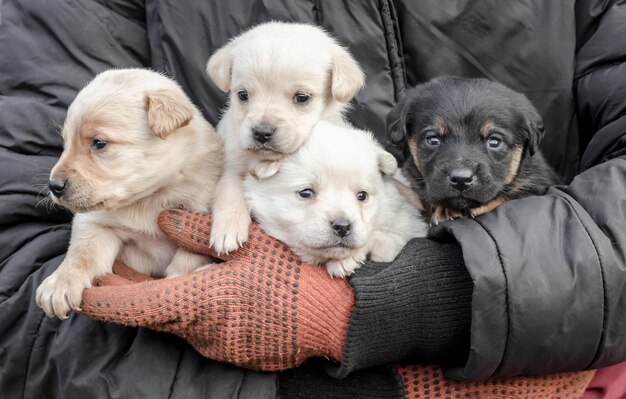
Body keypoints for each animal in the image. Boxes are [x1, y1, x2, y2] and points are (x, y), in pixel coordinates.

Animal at [35, 68, 223, 318]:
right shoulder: (96, 222)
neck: (149, 198)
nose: (53, 186)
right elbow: (82, 253)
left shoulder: (200, 210)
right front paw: (60, 283)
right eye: (65, 143)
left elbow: (190, 255)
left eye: (99, 143)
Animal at [205, 21, 364, 253]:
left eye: (302, 97)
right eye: (242, 95)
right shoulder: (232, 164)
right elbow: (230, 191)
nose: (262, 132)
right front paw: (228, 228)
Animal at [241, 122, 426, 278]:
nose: (342, 227)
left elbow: (384, 237)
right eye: (306, 193)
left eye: (362, 196)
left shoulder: (407, 224)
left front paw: (347, 260)